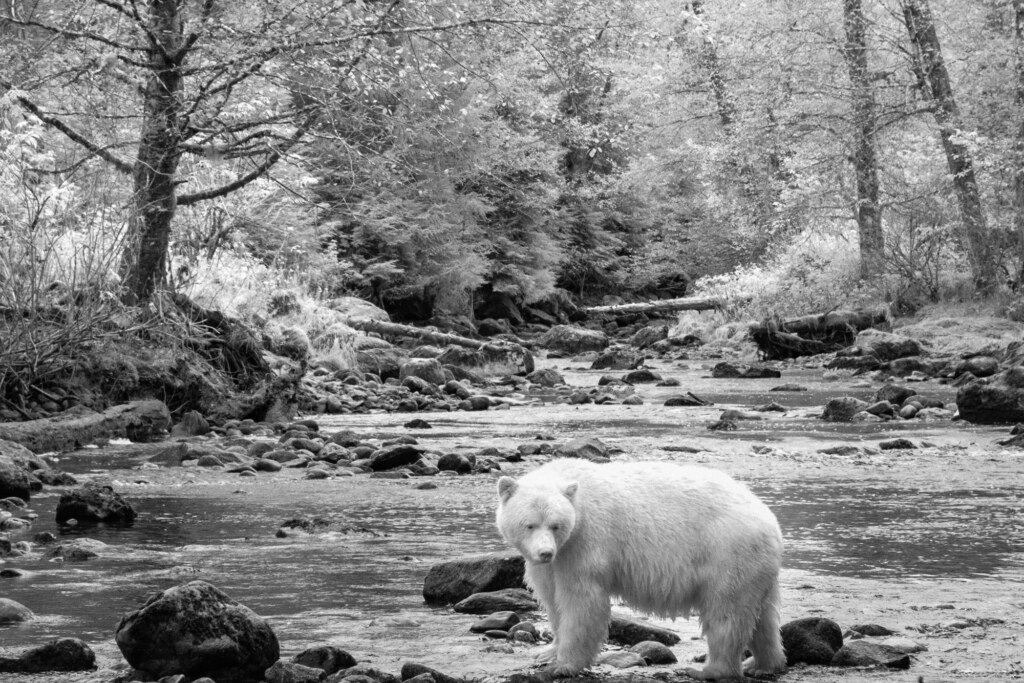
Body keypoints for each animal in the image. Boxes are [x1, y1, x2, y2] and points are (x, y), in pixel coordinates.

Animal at [495, 458, 786, 681]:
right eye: (530, 524)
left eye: (555, 525)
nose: (545, 552)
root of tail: (769, 519)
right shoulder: (555, 561)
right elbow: (552, 599)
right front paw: (547, 652)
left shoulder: (585, 544)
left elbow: (582, 602)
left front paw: (563, 665)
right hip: (756, 565)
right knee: (764, 616)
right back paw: (762, 664)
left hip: (727, 553)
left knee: (726, 614)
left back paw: (710, 670)